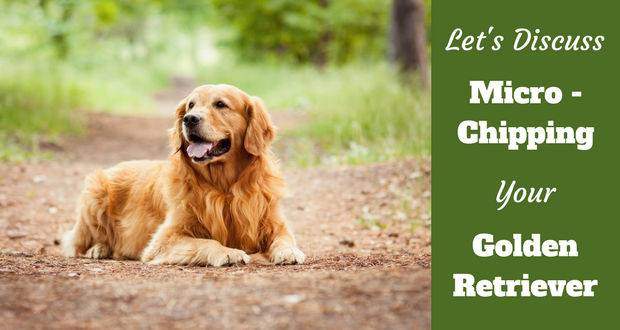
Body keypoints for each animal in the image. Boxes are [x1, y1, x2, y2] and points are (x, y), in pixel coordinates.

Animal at [63, 84, 306, 266]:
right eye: (191, 104)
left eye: (221, 104)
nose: (189, 119)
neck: (223, 187)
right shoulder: (164, 239)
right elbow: (205, 242)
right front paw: (228, 252)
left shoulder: (274, 222)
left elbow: (284, 239)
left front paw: (289, 251)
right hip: (94, 193)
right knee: (78, 243)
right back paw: (98, 249)